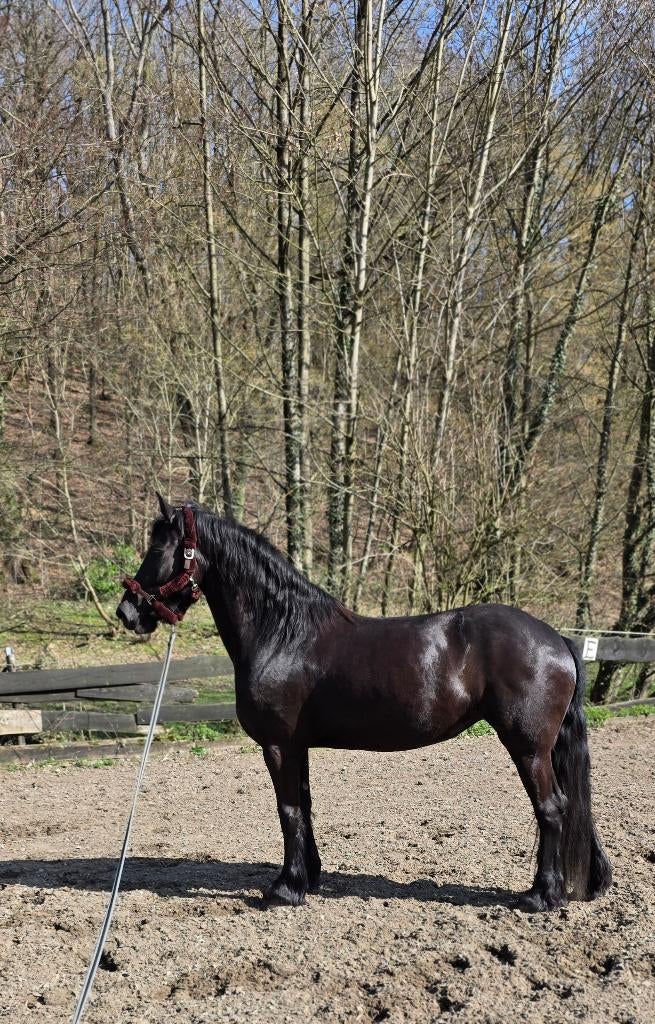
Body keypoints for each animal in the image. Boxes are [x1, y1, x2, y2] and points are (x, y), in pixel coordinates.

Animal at [116, 495, 612, 913]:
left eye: (159, 549)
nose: (127, 613)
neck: (284, 634)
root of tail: (557, 640)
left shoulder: (278, 745)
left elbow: (288, 810)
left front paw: (285, 889)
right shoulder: (297, 747)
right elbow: (304, 807)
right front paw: (308, 877)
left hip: (528, 748)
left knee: (551, 808)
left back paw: (540, 896)